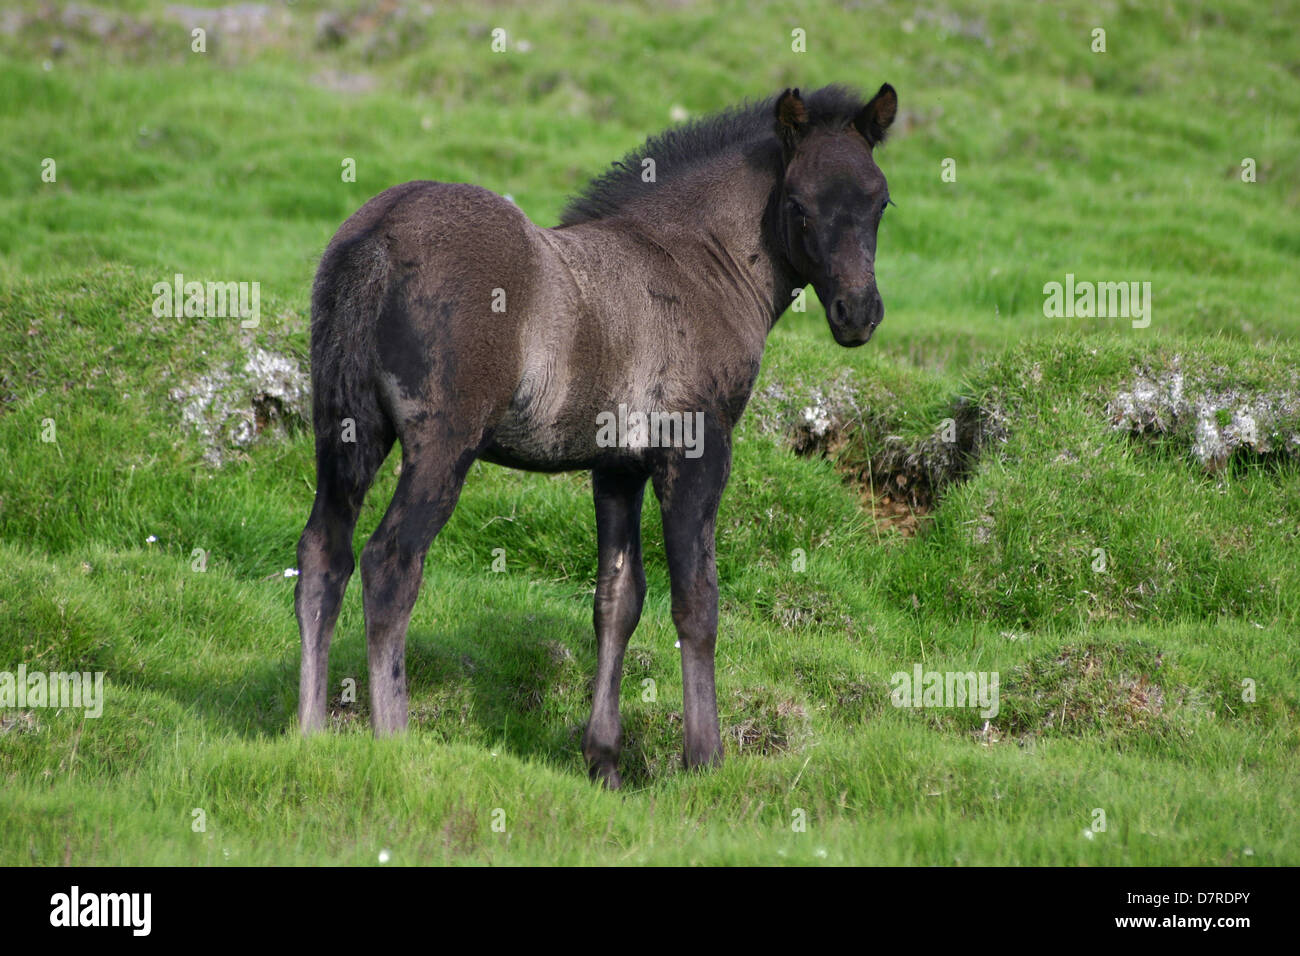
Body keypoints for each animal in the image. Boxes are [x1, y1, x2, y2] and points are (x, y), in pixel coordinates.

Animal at [295, 82, 898, 788]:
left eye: (879, 200)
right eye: (799, 205)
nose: (857, 313)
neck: (695, 262)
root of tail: (377, 236)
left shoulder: (617, 466)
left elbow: (617, 599)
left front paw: (604, 760)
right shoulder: (696, 449)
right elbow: (697, 602)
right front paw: (704, 759)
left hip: (347, 431)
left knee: (323, 555)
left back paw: (307, 735)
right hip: (442, 445)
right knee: (390, 563)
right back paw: (395, 741)